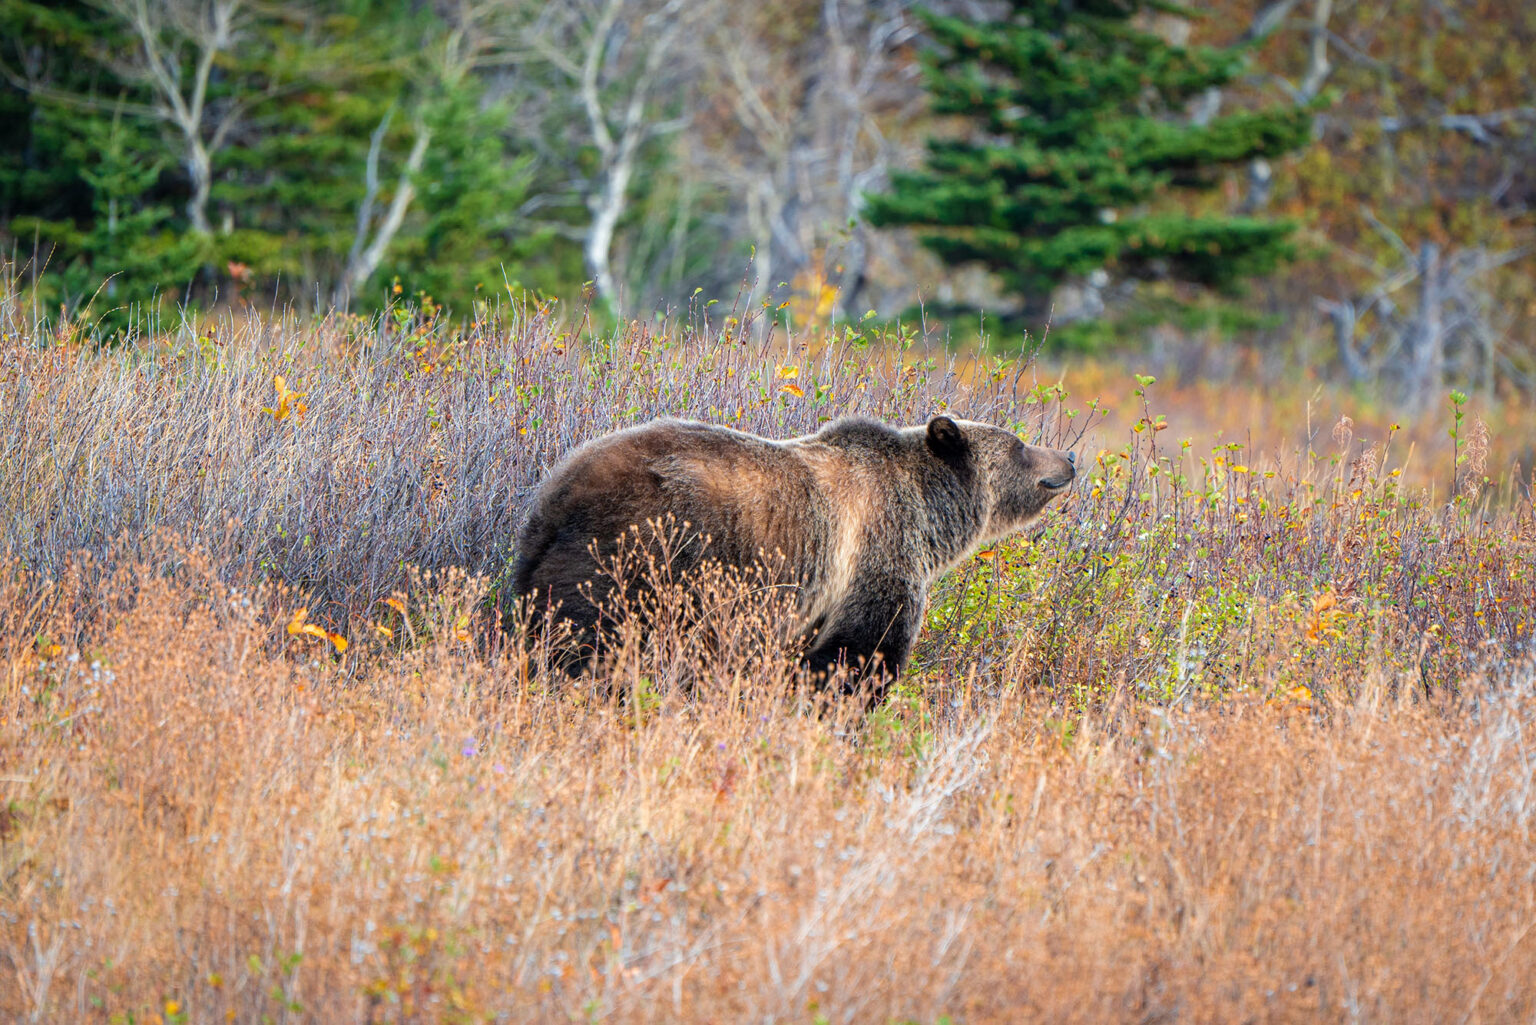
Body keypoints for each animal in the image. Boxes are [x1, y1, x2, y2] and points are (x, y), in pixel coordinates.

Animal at [510, 414, 1075, 691]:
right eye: (1020, 444)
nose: (1068, 456)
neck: (930, 514)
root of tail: (558, 490)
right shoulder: (875, 549)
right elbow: (860, 652)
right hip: (639, 552)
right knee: (585, 636)